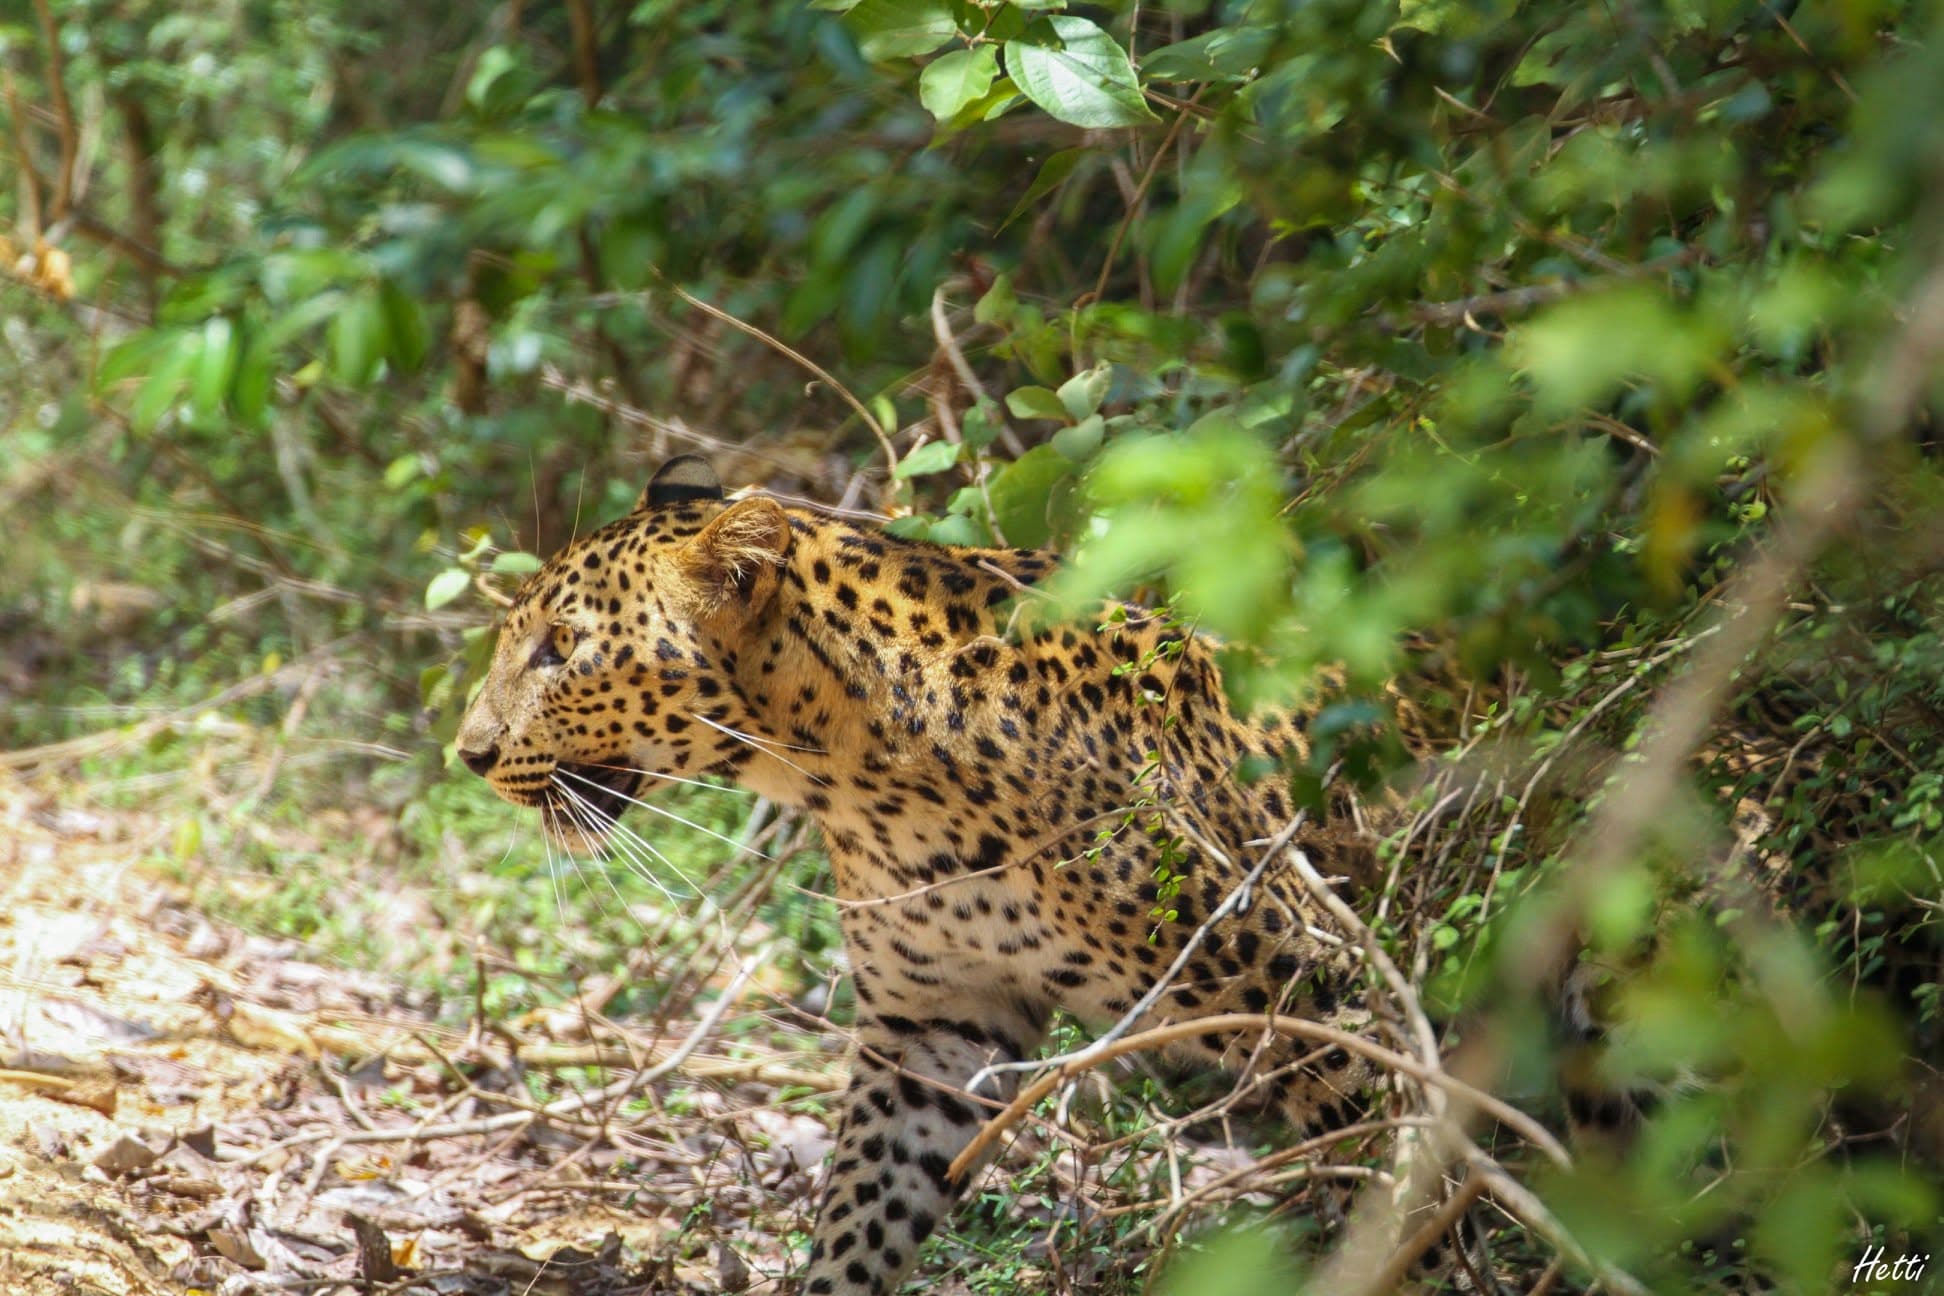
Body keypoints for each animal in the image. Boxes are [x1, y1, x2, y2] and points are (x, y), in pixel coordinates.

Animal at [456, 456, 1395, 1295]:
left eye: (561, 648)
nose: (468, 755)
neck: (859, 776)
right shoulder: (938, 1021)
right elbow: (863, 1213)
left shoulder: (1323, 1001)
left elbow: (1390, 1176)